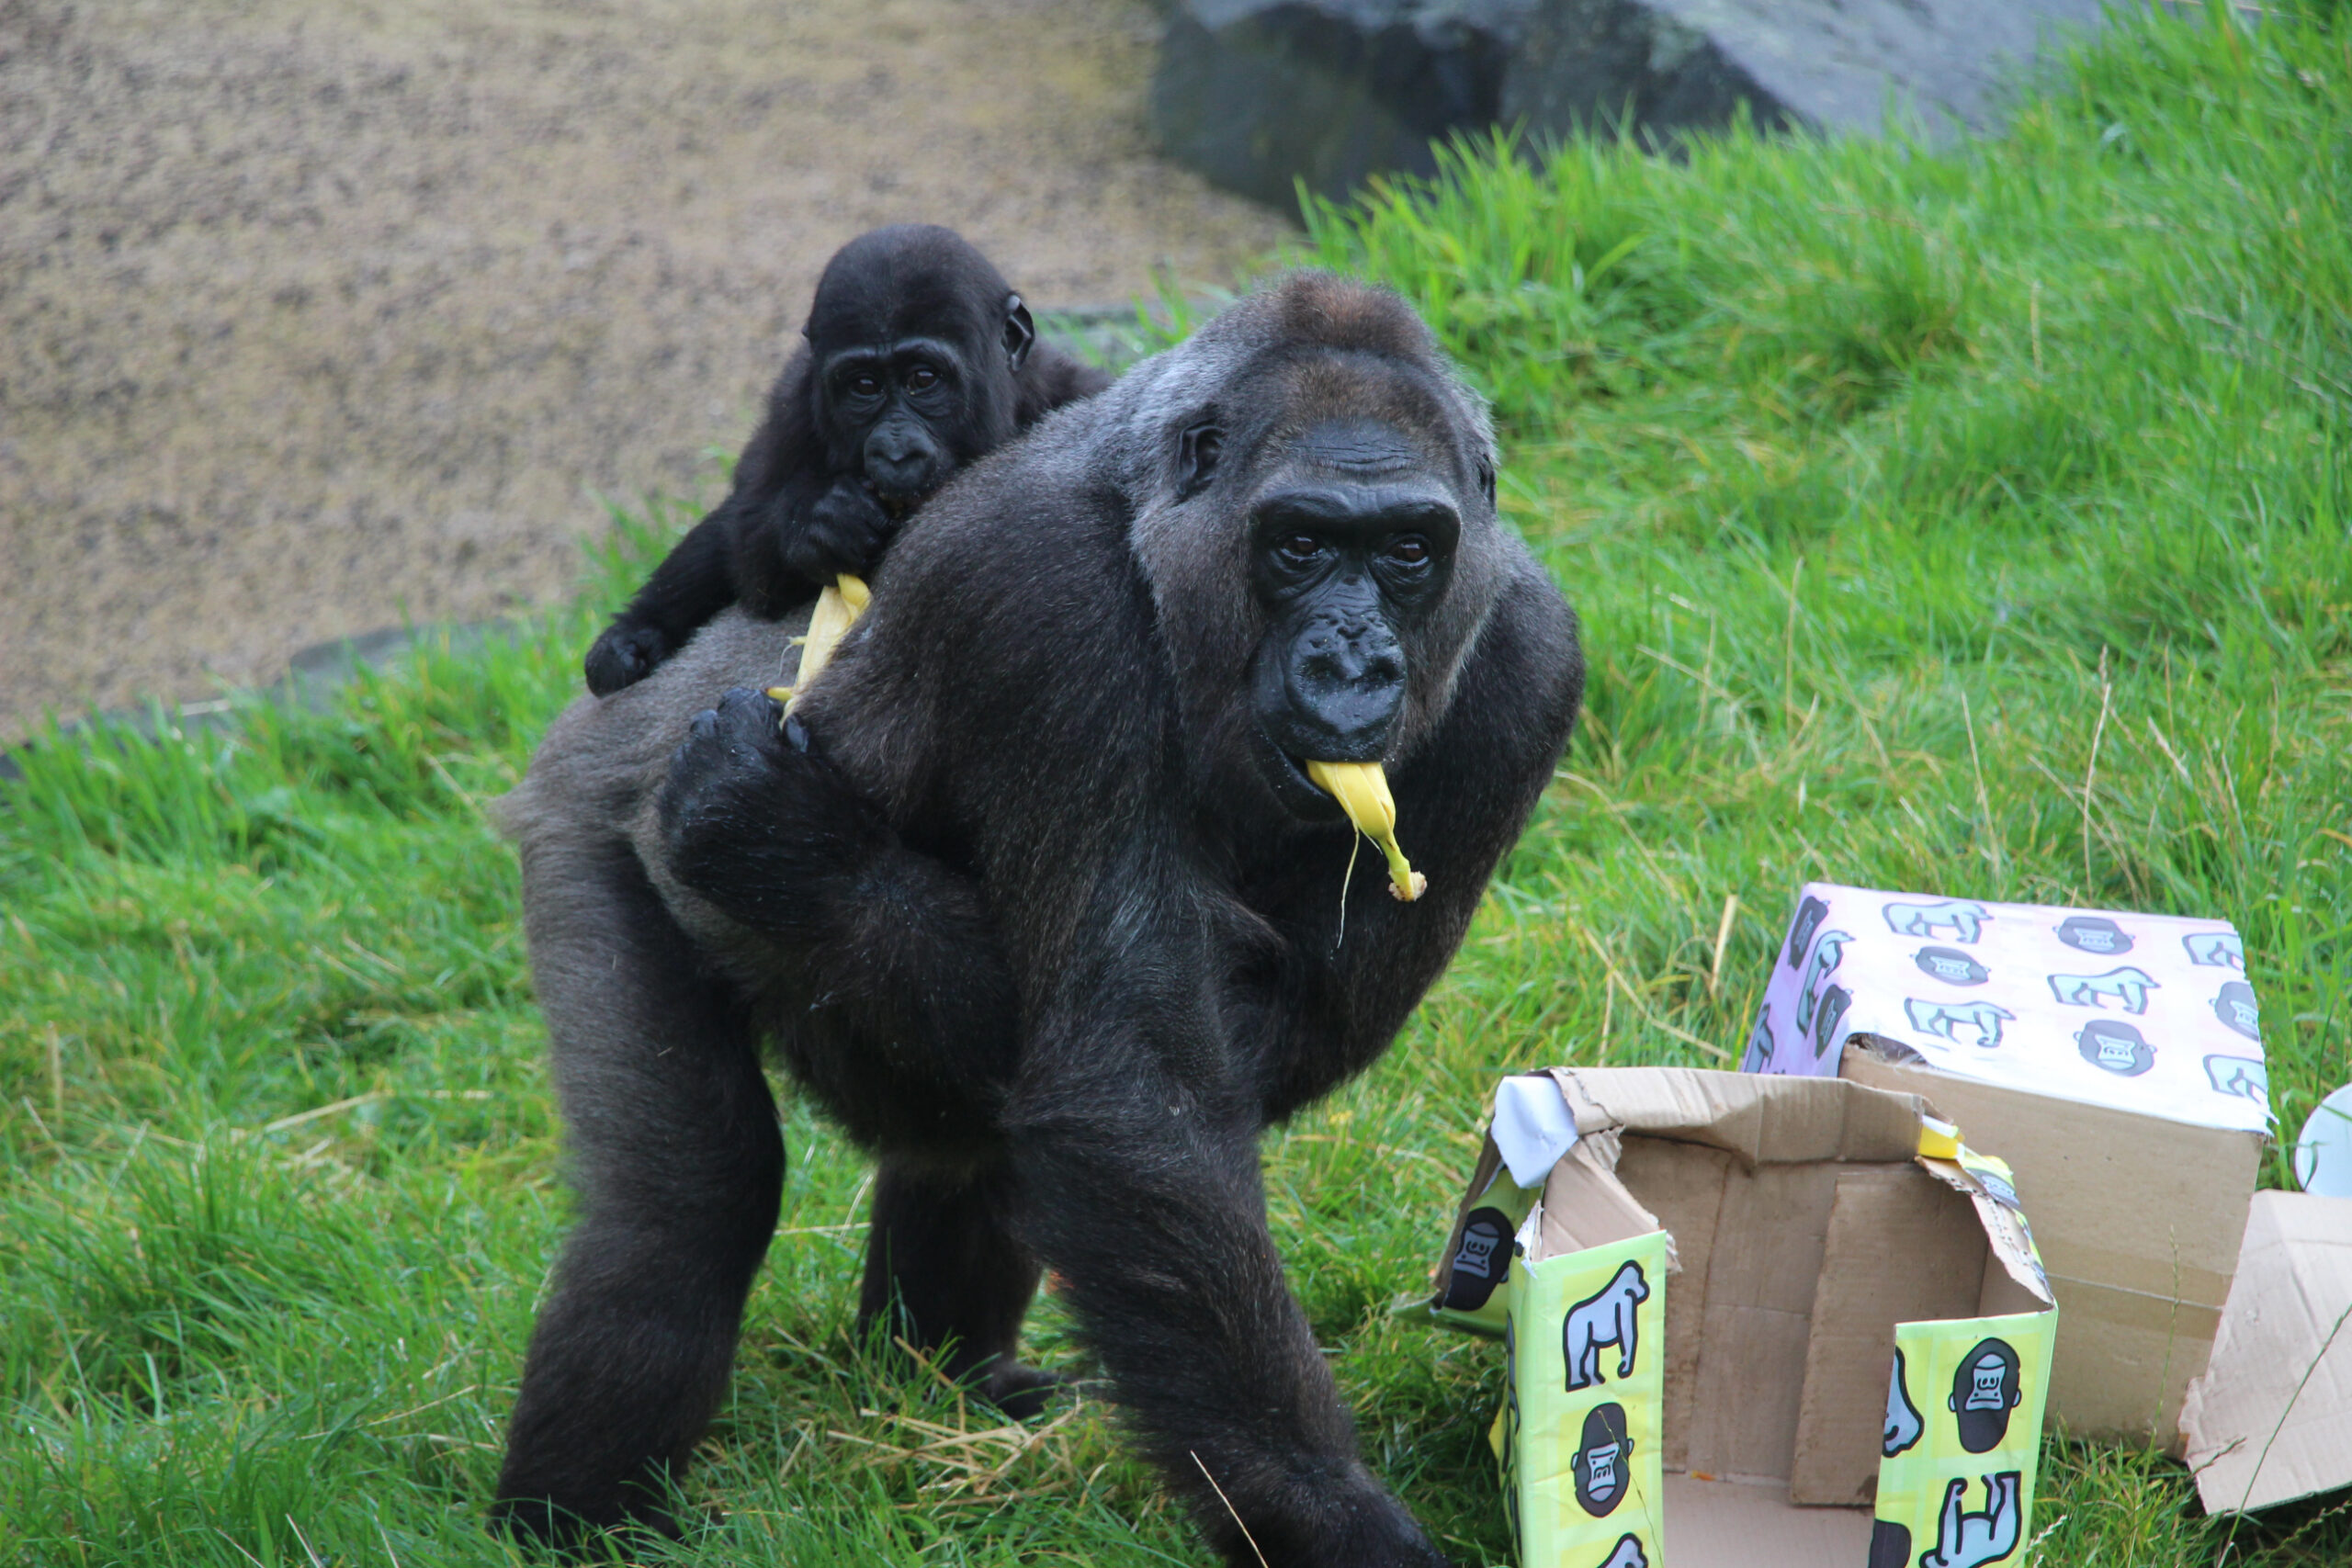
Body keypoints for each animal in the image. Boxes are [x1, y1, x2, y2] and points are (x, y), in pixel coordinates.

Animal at [492, 272, 1585, 1565]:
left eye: (1409, 549)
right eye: (1302, 544)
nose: (1354, 665)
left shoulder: (1528, 668)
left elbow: (1272, 1043)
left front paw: (784, 838)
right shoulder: (1045, 598)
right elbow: (1137, 1090)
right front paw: (1325, 1514)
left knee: (970, 1145)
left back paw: (936, 1384)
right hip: (581, 819)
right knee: (682, 1214)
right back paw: (574, 1521)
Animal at [581, 224, 1110, 697]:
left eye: (924, 379)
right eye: (864, 386)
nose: (895, 451)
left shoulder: (1078, 397)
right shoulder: (794, 399)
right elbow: (748, 535)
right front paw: (822, 524)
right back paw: (632, 637)